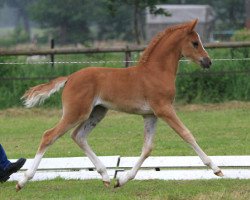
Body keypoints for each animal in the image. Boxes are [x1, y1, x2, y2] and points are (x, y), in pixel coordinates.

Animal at [18, 19, 225, 191]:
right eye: (195, 43)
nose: (208, 62)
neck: (156, 71)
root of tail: (69, 78)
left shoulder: (150, 115)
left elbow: (147, 148)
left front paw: (122, 179)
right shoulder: (164, 109)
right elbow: (186, 134)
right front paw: (216, 169)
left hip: (97, 112)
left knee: (78, 136)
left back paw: (106, 176)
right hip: (76, 112)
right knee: (49, 136)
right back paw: (23, 181)